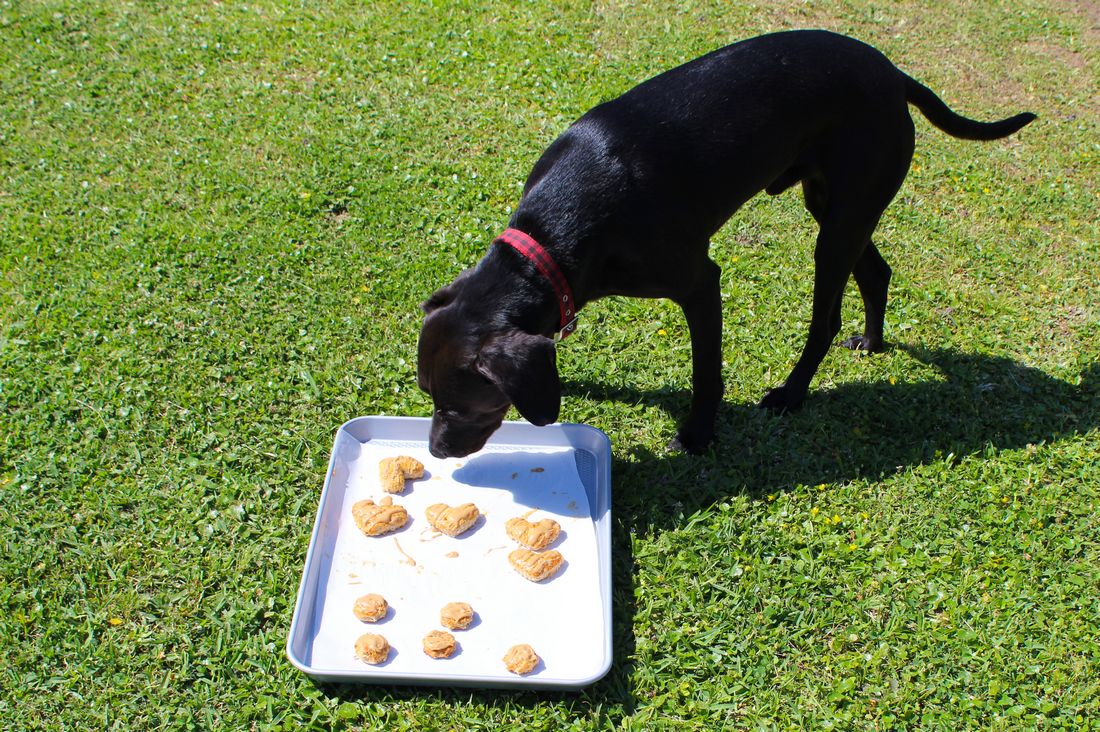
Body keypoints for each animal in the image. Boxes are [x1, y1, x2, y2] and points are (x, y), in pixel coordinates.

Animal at [415, 29, 1034, 457]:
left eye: (456, 405)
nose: (436, 452)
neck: (556, 231)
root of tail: (894, 74)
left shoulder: (698, 282)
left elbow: (706, 371)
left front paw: (698, 433)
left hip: (842, 218)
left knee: (826, 317)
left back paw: (792, 394)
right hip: (836, 204)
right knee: (876, 270)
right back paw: (873, 341)